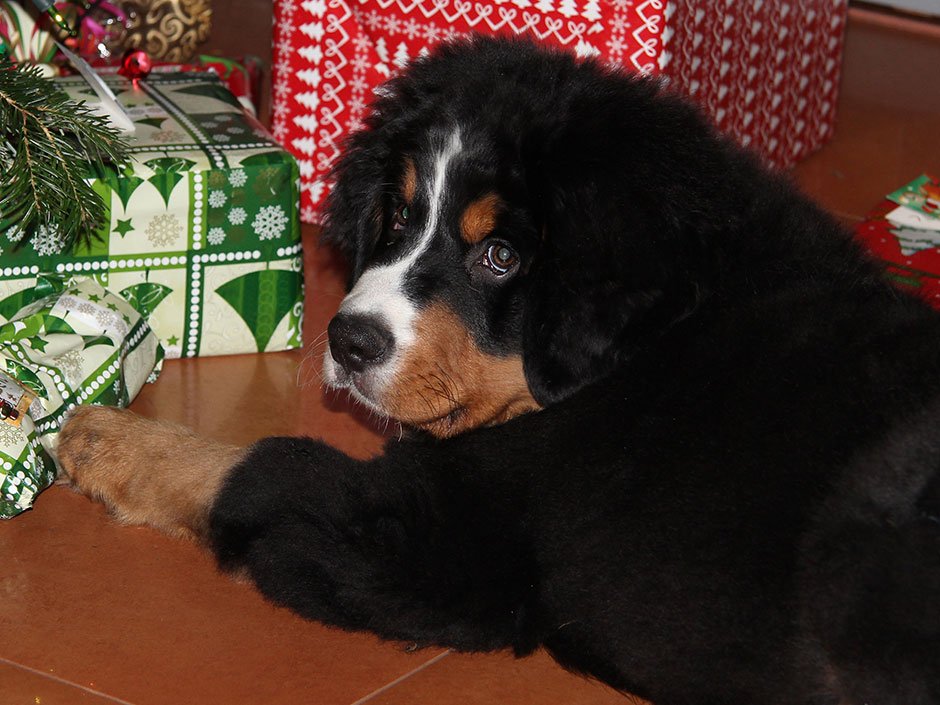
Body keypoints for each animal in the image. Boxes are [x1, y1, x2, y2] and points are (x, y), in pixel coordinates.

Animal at [57, 37, 940, 704]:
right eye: (398, 214)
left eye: (501, 256)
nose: (348, 340)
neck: (655, 335)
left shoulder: (449, 543)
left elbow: (255, 466)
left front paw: (107, 438)